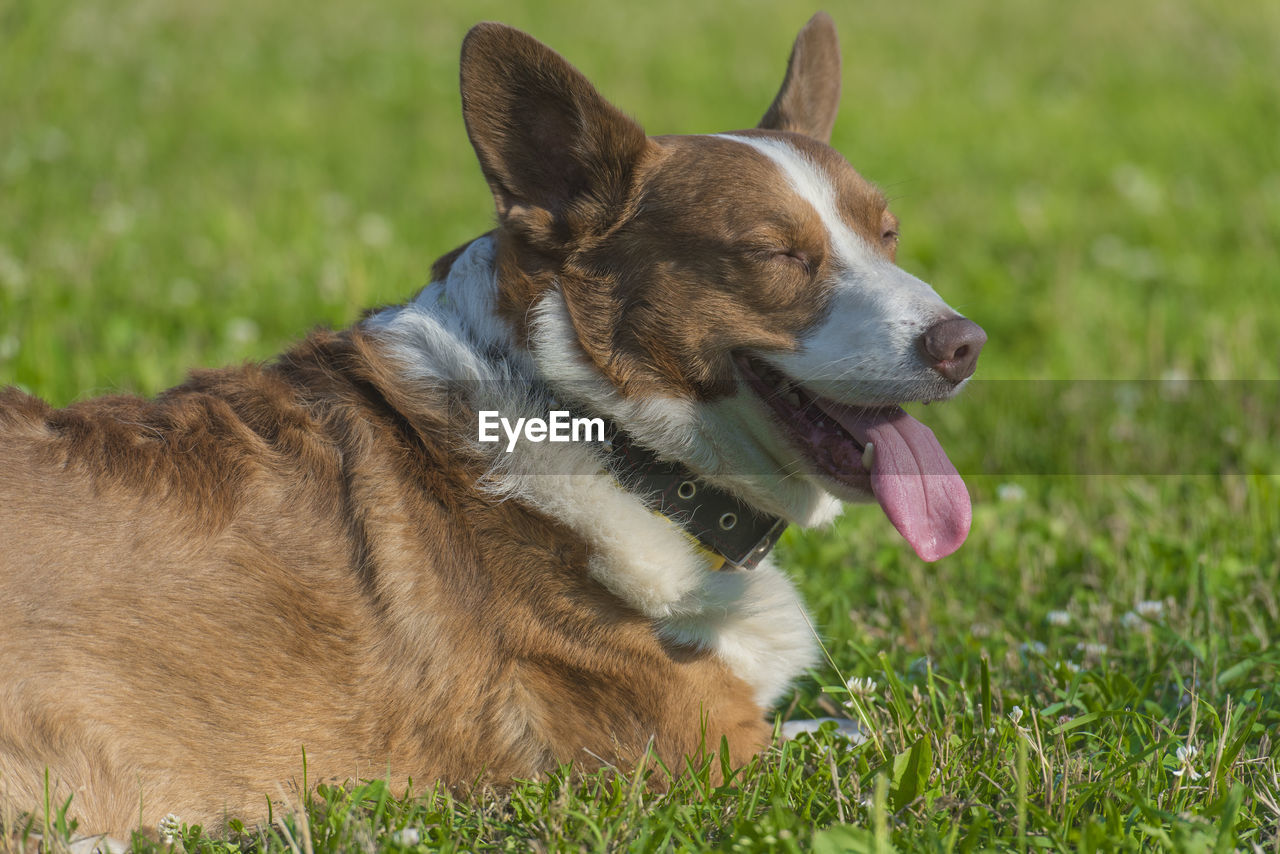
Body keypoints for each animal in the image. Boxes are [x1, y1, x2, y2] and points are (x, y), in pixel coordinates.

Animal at [0, 11, 983, 839]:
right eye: (775, 254)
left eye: (888, 234)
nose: (964, 344)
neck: (607, 435)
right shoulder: (711, 750)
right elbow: (876, 732)